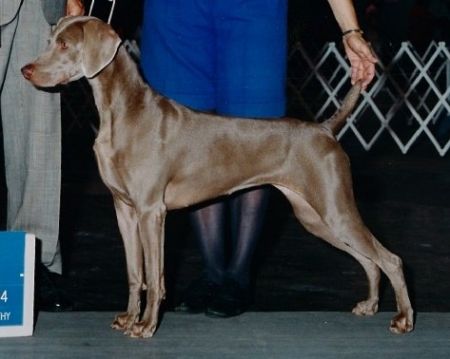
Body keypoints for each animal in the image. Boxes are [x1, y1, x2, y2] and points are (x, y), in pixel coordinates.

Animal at [22, 16, 414, 338]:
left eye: (64, 45)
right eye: (50, 39)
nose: (26, 70)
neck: (122, 111)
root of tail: (324, 129)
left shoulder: (151, 211)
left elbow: (155, 275)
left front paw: (146, 325)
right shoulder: (125, 209)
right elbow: (135, 273)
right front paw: (129, 318)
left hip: (334, 208)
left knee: (390, 258)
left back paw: (403, 319)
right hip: (314, 216)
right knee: (369, 259)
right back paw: (370, 305)